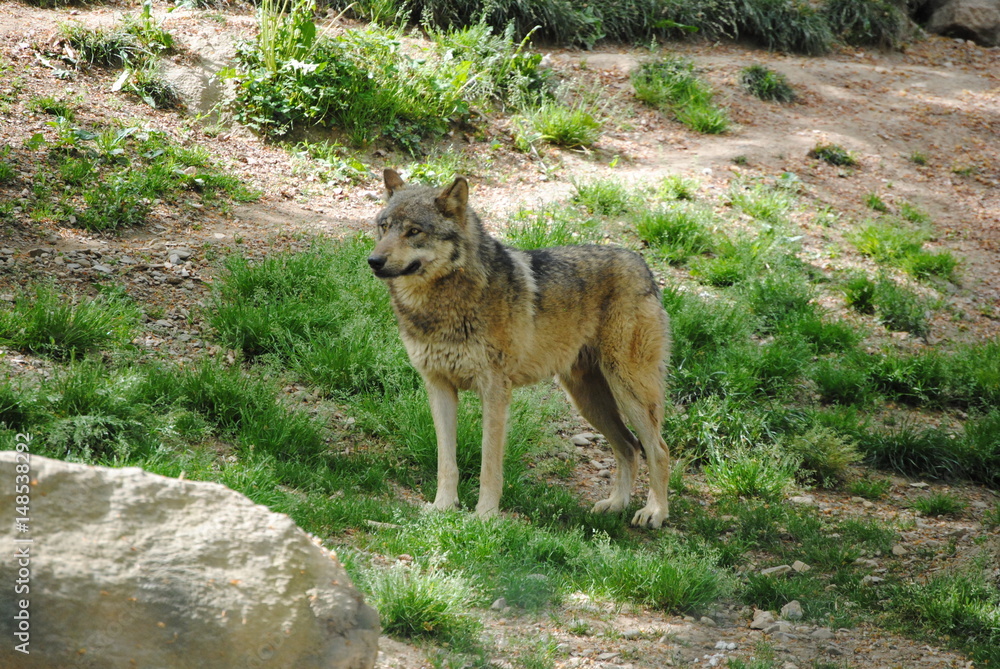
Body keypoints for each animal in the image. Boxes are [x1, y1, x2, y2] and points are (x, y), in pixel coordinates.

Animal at [368, 168, 673, 528]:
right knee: (628, 447)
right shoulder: (439, 387)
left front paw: (484, 516)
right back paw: (616, 504)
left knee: (658, 450)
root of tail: (642, 264)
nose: (374, 260)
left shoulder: (495, 392)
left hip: (629, 391)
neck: (440, 307)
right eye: (384, 227)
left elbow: (489, 466)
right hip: (588, 400)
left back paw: (654, 512)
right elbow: (446, 462)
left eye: (414, 231)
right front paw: (442, 508)